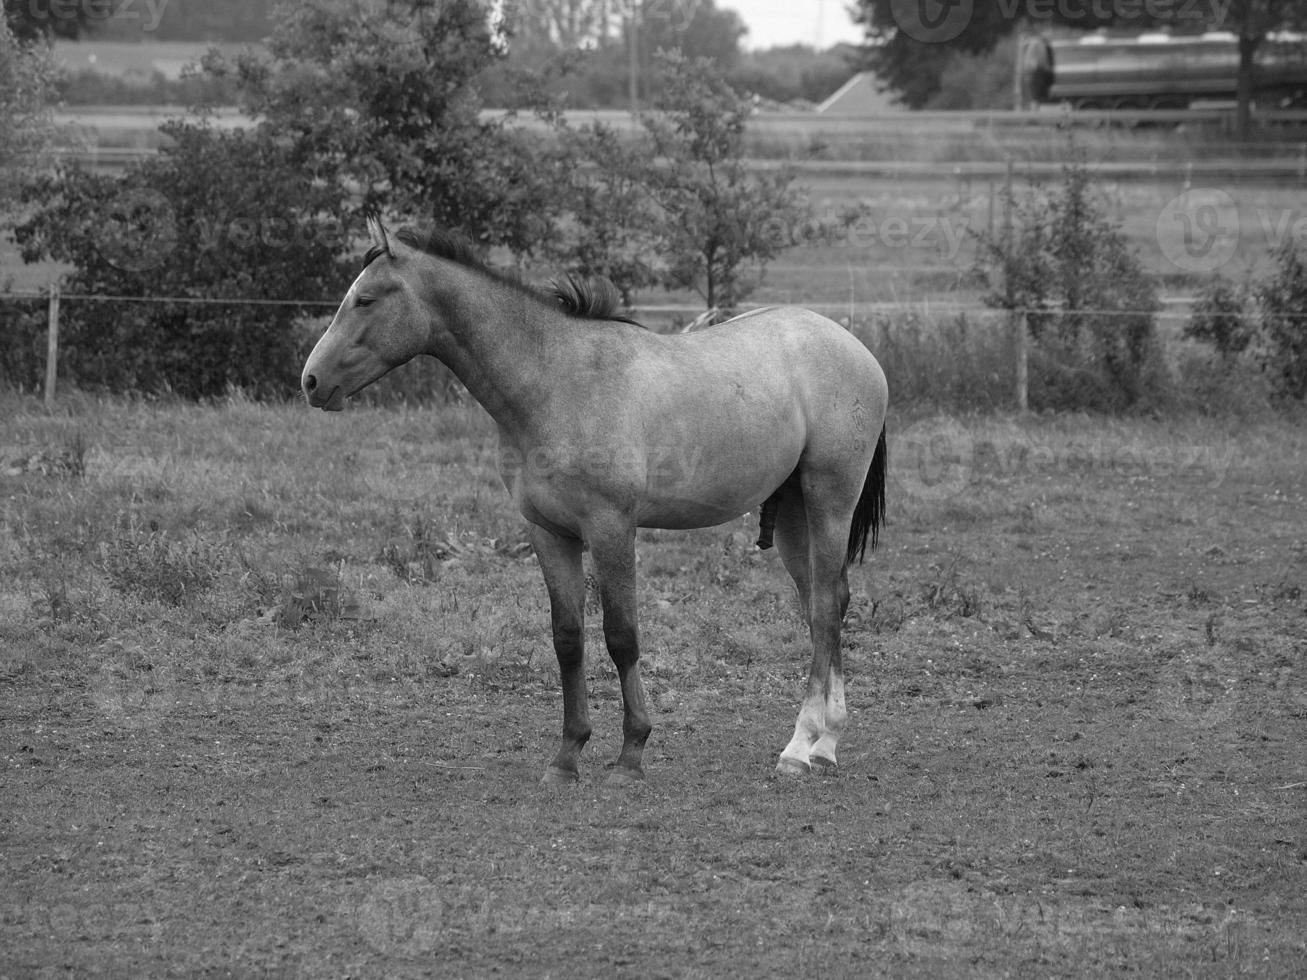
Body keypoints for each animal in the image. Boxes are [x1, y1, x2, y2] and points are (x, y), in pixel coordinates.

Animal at [299, 212, 888, 783]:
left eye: (365, 299)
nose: (311, 381)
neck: (556, 381)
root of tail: (857, 350)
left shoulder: (611, 529)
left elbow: (621, 636)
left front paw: (631, 754)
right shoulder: (550, 534)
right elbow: (568, 638)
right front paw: (567, 756)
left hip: (829, 501)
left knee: (824, 609)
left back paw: (800, 747)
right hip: (792, 517)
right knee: (826, 604)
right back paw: (825, 743)